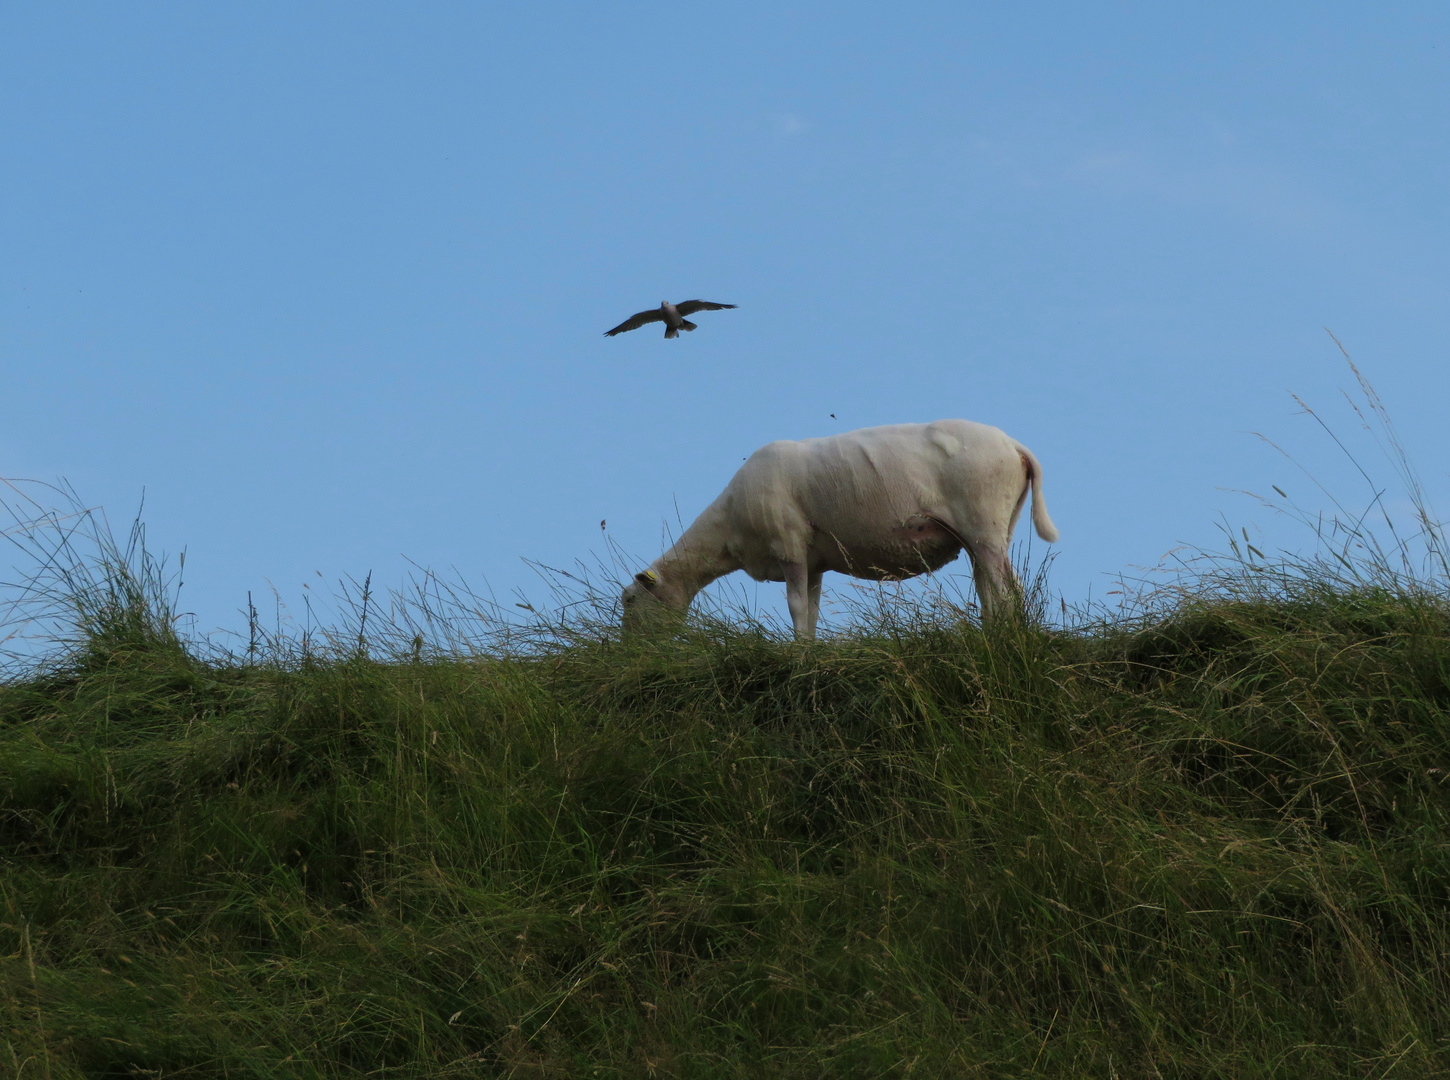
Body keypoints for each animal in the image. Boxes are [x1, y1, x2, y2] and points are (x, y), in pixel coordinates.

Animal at [620, 420, 1055, 640]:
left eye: (628, 601)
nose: (630, 654)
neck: (728, 530)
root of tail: (1015, 446)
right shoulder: (814, 563)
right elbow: (810, 611)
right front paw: (809, 650)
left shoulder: (789, 544)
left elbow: (796, 608)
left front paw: (796, 655)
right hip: (988, 532)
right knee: (991, 591)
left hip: (984, 522)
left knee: (1008, 591)